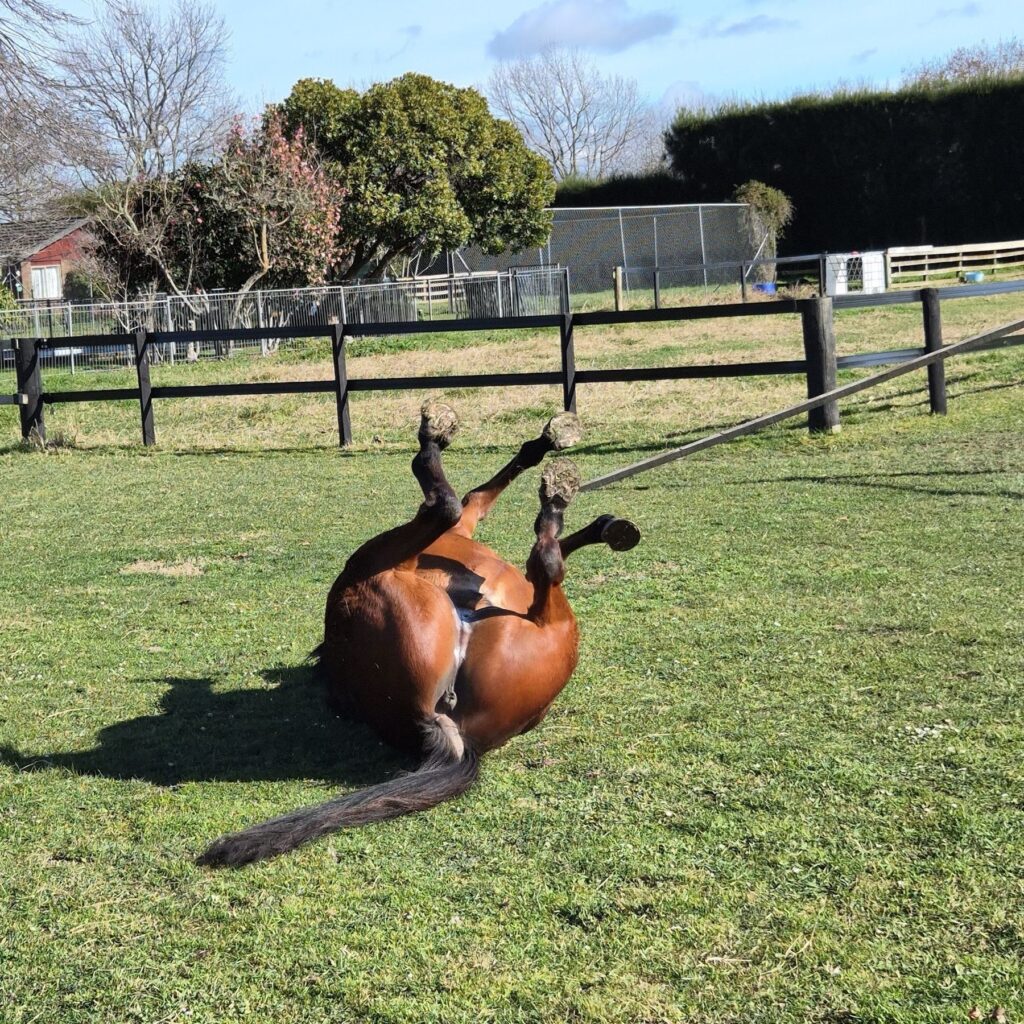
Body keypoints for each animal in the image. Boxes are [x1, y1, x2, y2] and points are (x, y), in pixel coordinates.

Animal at [198, 401, 640, 867]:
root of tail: (442, 725)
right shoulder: (466, 524)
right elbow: (479, 497)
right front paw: (551, 452)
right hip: (385, 570)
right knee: (493, 534)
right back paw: (504, 473)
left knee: (530, 556)